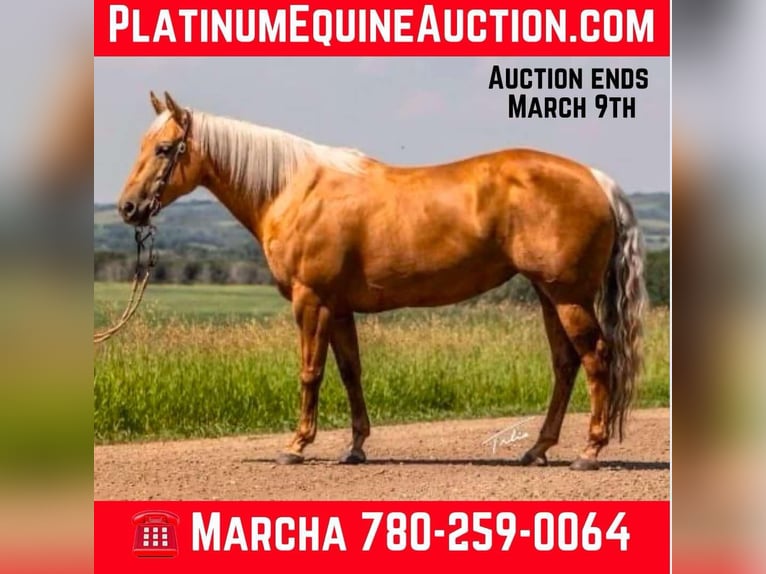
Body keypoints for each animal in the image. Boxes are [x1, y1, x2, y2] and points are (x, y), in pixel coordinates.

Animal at [116, 91, 646, 471]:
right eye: (141, 146)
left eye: (164, 149)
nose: (128, 208)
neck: (294, 189)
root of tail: (597, 180)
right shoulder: (338, 307)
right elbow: (351, 372)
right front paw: (355, 447)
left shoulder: (311, 301)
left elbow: (311, 372)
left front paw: (297, 445)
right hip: (549, 295)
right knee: (565, 365)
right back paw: (538, 449)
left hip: (567, 296)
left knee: (597, 360)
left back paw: (590, 452)